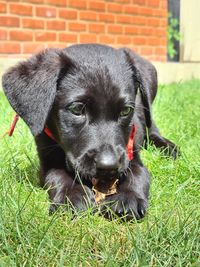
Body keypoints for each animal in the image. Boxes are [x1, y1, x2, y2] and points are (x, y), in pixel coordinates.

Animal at [1, 43, 177, 220]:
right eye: (77, 109)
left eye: (126, 111)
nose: (109, 166)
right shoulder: (46, 159)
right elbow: (57, 175)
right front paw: (71, 195)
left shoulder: (130, 154)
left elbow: (138, 173)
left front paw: (128, 196)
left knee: (152, 132)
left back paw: (169, 148)